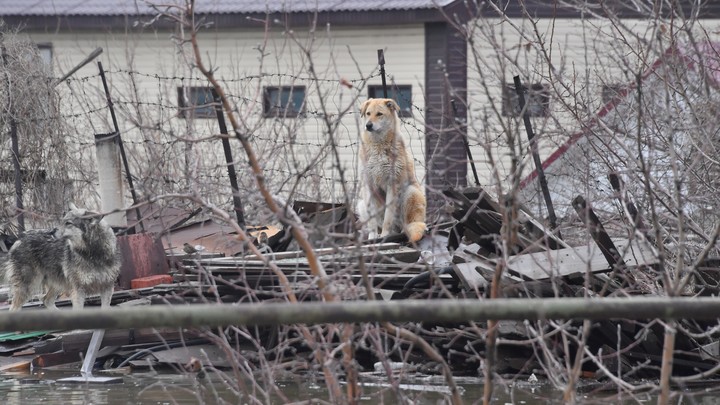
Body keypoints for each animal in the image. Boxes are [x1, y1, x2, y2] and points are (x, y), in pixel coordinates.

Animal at [356, 98, 424, 243]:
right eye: (368, 113)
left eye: (379, 114)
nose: (368, 125)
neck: (378, 144)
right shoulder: (368, 186)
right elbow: (372, 222)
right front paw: (372, 238)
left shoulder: (392, 185)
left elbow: (388, 217)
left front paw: (385, 235)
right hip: (361, 204)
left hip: (410, 192)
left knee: (408, 224)